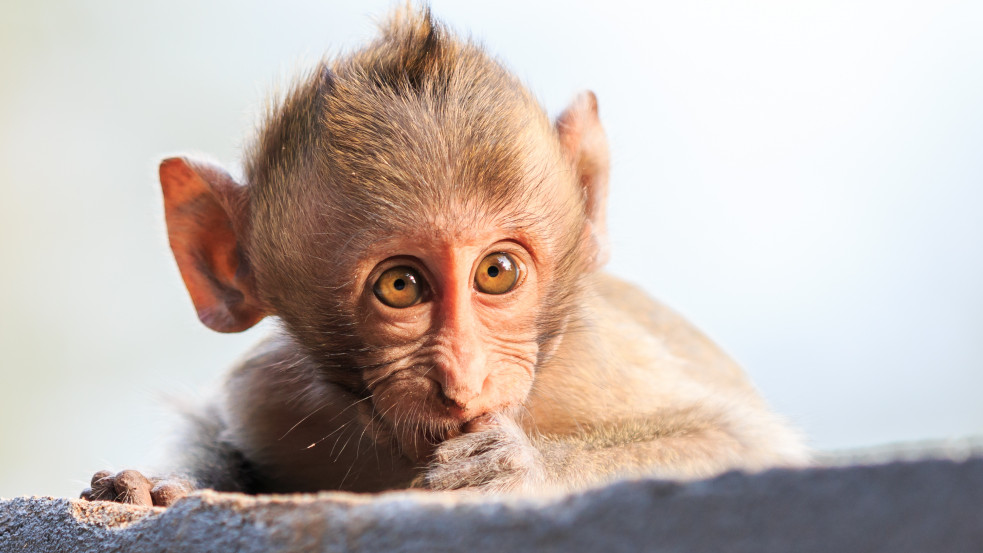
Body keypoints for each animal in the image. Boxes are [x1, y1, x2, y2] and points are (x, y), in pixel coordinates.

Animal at [82, 8, 808, 506]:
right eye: (400, 285)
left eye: (496, 272)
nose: (464, 377)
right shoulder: (275, 393)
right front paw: (164, 484)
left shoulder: (590, 366)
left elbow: (743, 447)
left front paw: (515, 470)